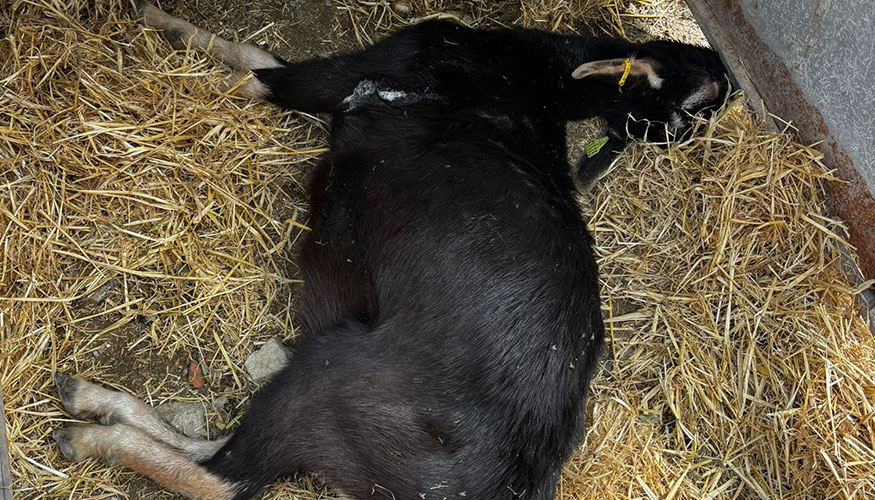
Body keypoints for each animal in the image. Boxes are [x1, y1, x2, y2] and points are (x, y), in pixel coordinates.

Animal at [52, 3, 727, 499]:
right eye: (693, 103)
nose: (722, 66)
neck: (533, 77)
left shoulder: (357, 72)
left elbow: (255, 71)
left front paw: (160, 23)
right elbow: (259, 61)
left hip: (332, 374)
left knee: (226, 478)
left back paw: (89, 433)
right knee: (222, 454)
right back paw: (92, 402)